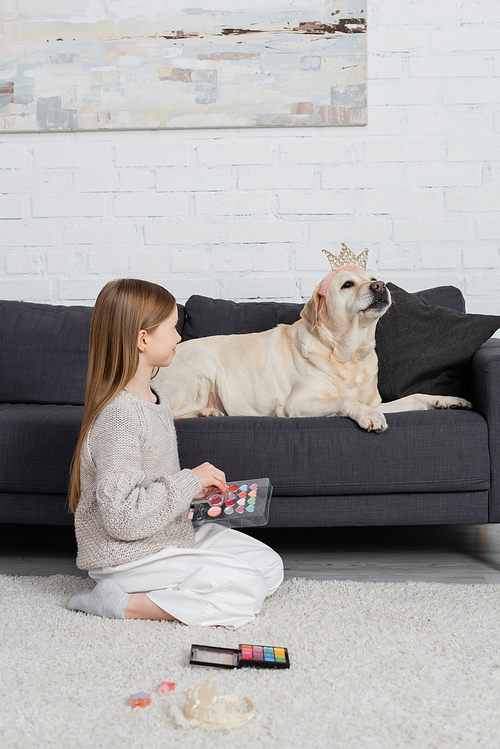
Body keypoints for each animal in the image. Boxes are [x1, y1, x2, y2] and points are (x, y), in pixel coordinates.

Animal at [157, 268, 472, 432]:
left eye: (373, 278)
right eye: (348, 284)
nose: (380, 286)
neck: (349, 355)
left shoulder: (380, 401)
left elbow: (416, 397)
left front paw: (448, 400)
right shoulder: (298, 403)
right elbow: (343, 400)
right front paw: (363, 416)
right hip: (203, 363)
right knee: (172, 411)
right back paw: (207, 413)